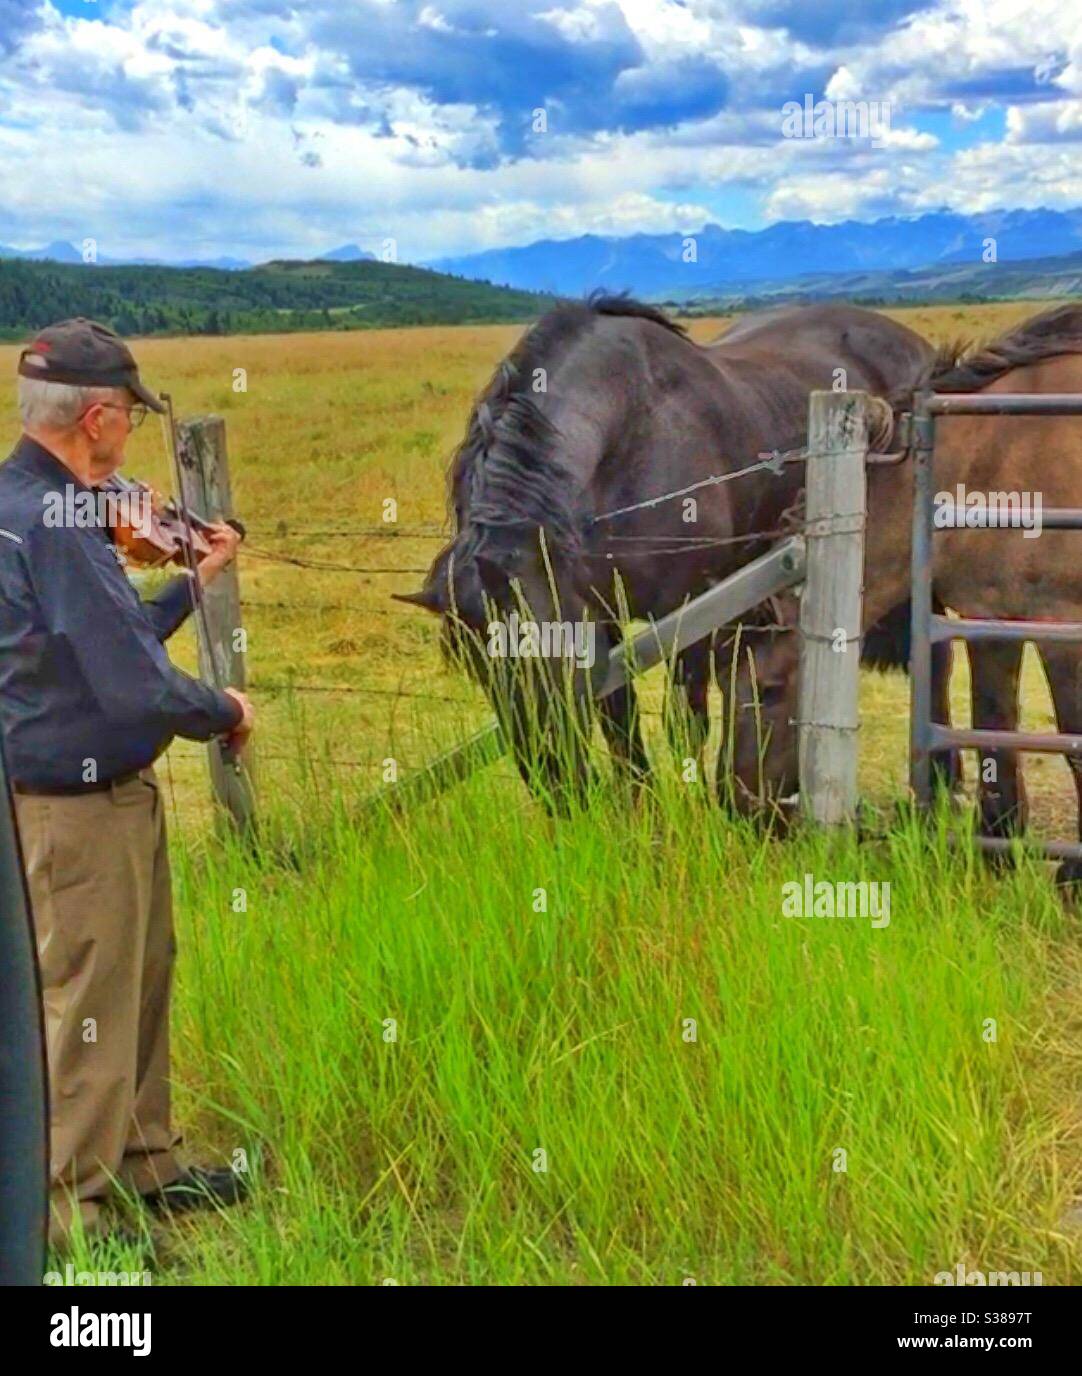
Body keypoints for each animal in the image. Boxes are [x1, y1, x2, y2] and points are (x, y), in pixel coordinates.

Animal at [397, 294, 937, 809]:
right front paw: (641, 805)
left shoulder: (687, 609)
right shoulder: (600, 614)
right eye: (478, 666)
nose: (558, 788)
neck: (631, 441)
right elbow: (620, 717)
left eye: (551, 653)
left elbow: (685, 721)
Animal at [722, 303, 1082, 878]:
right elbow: (993, 725)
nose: (736, 806)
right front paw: (999, 846)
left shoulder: (1059, 624)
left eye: (768, 689)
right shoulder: (990, 616)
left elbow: (1071, 738)